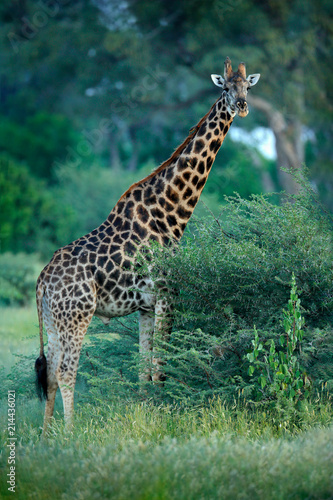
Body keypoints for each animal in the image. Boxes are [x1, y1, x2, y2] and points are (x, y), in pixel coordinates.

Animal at [34, 57, 260, 434]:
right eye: (226, 87)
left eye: (248, 87)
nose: (241, 106)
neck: (171, 211)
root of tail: (42, 282)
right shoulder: (169, 293)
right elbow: (161, 366)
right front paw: (164, 413)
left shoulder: (144, 304)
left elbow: (144, 368)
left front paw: (145, 412)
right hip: (77, 316)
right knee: (66, 372)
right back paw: (69, 432)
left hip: (53, 320)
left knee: (49, 373)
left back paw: (46, 434)